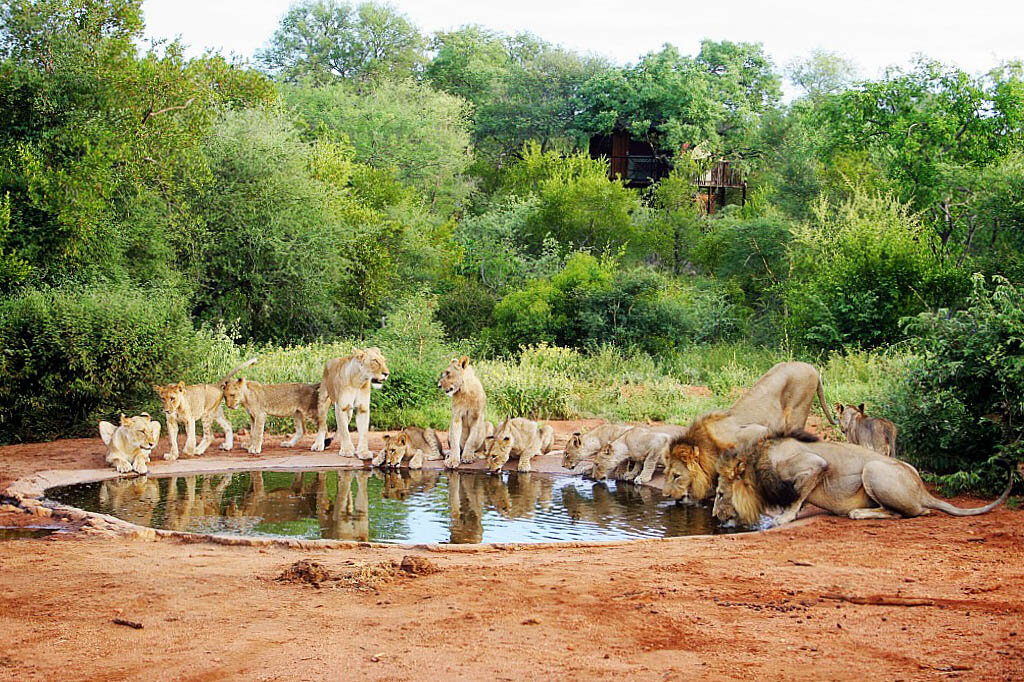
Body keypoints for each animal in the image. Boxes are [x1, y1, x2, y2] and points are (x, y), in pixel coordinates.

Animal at [659, 360, 835, 499]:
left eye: (676, 476)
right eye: (665, 474)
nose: (665, 495)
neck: (709, 447)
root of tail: (812, 368)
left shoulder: (756, 431)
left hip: (797, 414)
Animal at [712, 436, 1015, 524]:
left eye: (719, 494)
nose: (714, 516)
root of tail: (922, 490)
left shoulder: (813, 465)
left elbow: (797, 497)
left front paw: (783, 517)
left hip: (873, 469)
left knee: (910, 513)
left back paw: (858, 513)